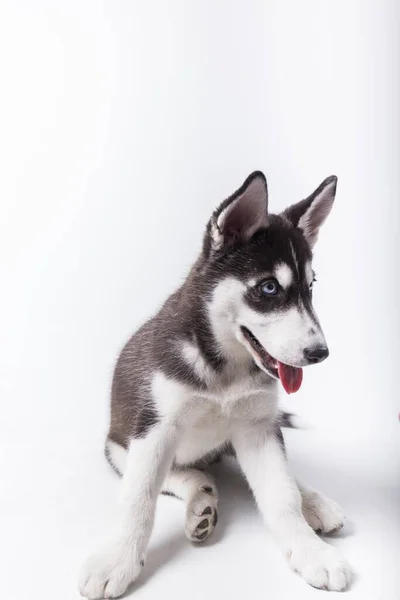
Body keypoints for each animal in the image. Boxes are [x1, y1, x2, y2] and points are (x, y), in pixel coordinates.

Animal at [78, 171, 350, 596]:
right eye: (269, 288)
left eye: (311, 287)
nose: (319, 352)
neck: (225, 370)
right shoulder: (153, 428)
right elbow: (139, 498)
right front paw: (117, 559)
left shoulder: (258, 429)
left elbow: (282, 495)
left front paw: (310, 550)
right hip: (118, 447)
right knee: (179, 475)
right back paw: (201, 500)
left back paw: (312, 502)